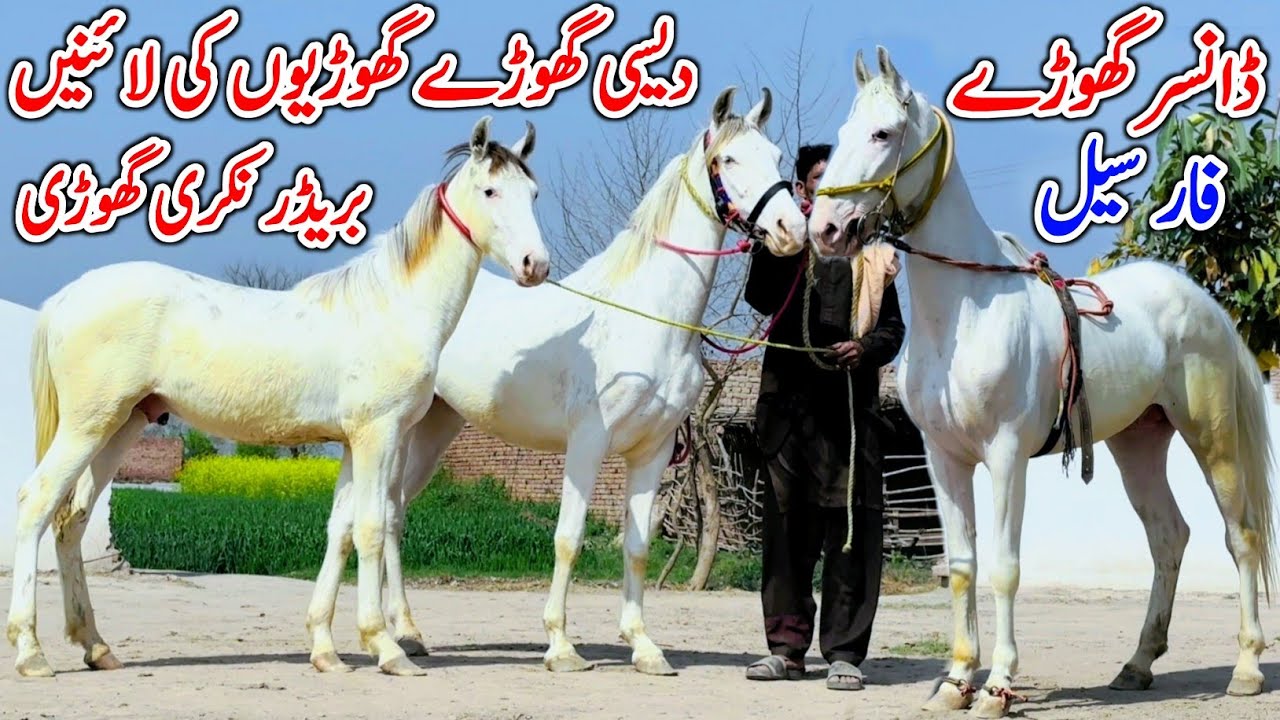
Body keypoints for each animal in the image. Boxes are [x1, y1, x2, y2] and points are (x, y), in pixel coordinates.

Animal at [6, 117, 550, 679]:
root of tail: (66, 297)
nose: (535, 265)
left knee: (72, 521)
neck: (393, 307)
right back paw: (31, 652)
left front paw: (325, 649)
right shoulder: (377, 435)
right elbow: (372, 529)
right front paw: (386, 647)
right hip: (87, 426)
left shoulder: (352, 442)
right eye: (490, 191)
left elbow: (340, 530)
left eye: (532, 193)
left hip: (120, 426)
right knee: (36, 503)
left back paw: (96, 646)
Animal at [304, 85, 809, 676]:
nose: (791, 232)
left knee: (393, 517)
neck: (646, 315)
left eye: (776, 156)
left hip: (432, 430)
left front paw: (644, 647)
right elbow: (569, 539)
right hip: (397, 432)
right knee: (379, 520)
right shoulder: (588, 441)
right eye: (727, 159)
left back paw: (406, 633)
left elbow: (637, 546)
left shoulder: (655, 449)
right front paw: (561, 646)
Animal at [808, 47, 1276, 717]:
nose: (824, 229)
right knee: (1169, 537)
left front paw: (999, 686)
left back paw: (1245, 668)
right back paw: (1137, 665)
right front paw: (955, 682)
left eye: (883, 134)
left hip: (1212, 440)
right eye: (846, 131)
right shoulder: (942, 458)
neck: (965, 310)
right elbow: (962, 565)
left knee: (1240, 537)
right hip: (1139, 444)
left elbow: (1004, 567)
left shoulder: (1006, 456)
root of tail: (1200, 301)